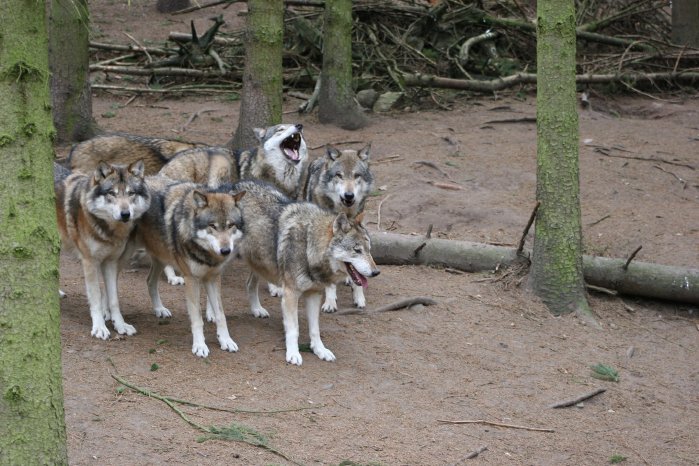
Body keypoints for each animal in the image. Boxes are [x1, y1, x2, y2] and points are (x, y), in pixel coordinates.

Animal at [55, 159, 151, 338]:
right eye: (112, 193)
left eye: (131, 193)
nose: (125, 214)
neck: (110, 232)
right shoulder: (90, 262)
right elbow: (96, 299)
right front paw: (99, 328)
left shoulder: (111, 262)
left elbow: (113, 300)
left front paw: (120, 325)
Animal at [130, 177, 247, 358]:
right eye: (212, 226)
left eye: (230, 225)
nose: (226, 251)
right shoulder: (192, 280)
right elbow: (197, 319)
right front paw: (200, 345)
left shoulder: (213, 278)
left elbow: (221, 315)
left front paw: (226, 341)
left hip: (160, 257)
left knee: (149, 281)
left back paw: (159, 309)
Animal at [232, 180, 380, 366]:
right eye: (357, 250)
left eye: (369, 250)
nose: (376, 272)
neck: (309, 246)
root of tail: (232, 185)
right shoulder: (290, 294)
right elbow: (293, 329)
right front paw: (293, 354)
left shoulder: (314, 294)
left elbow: (315, 329)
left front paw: (320, 350)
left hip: (259, 264)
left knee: (249, 284)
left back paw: (257, 310)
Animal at [302, 146, 378, 314]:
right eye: (339, 175)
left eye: (357, 175)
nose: (349, 195)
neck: (345, 211)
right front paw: (330, 302)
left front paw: (359, 297)